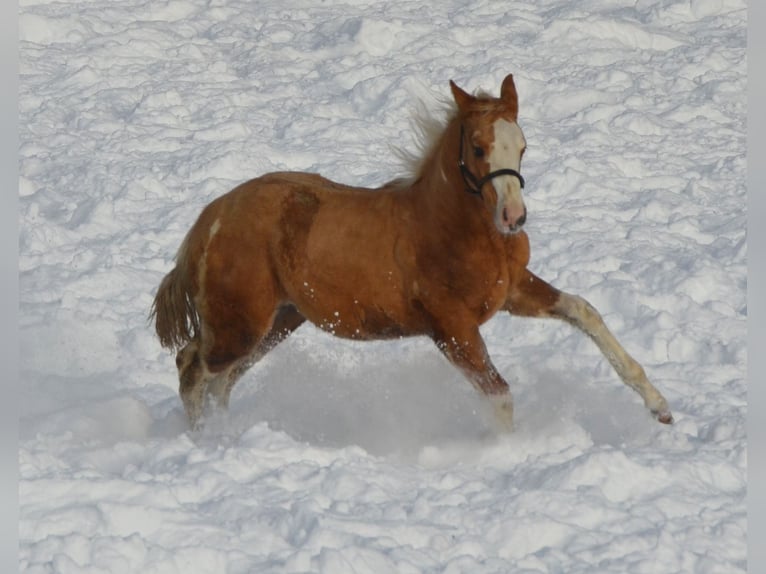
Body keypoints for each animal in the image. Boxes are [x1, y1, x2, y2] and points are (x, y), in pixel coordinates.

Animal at [153, 73, 676, 432]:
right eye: (479, 147)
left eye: (523, 146)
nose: (514, 217)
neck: (451, 230)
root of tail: (213, 216)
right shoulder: (451, 329)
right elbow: (500, 395)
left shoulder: (514, 292)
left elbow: (584, 311)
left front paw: (660, 407)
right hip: (241, 323)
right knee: (192, 367)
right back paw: (206, 441)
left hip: (277, 322)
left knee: (220, 379)